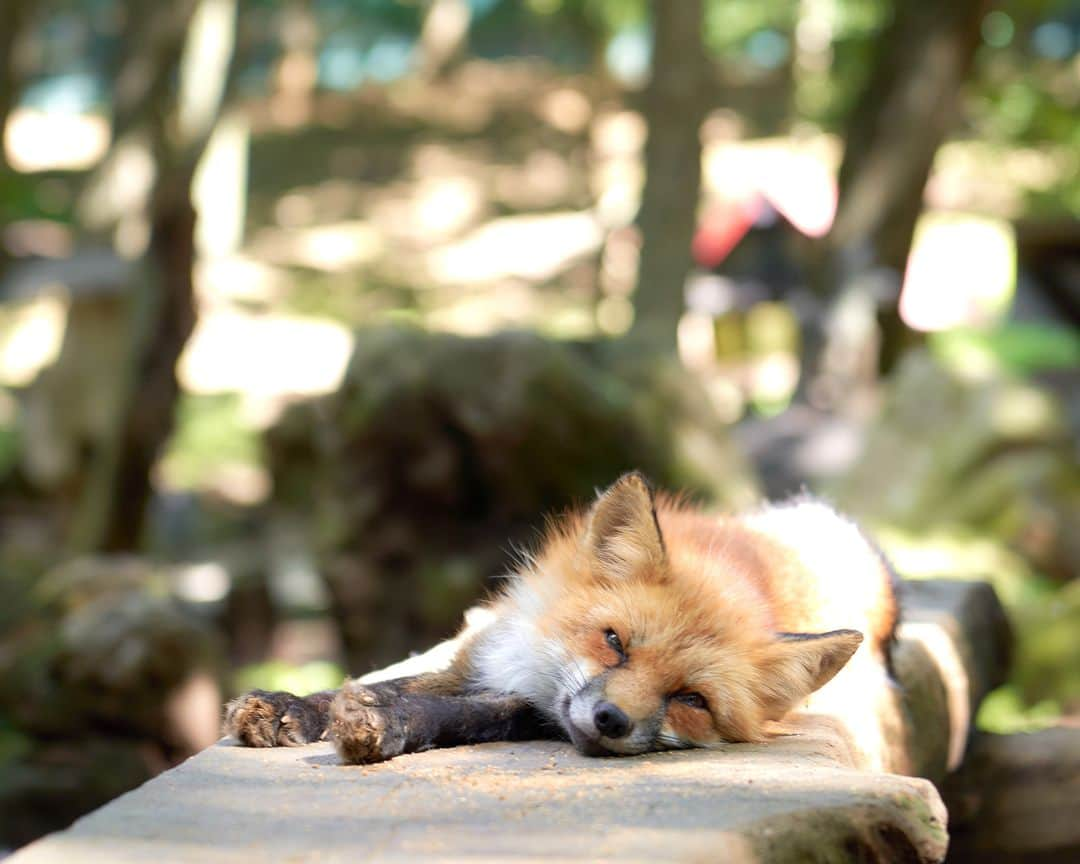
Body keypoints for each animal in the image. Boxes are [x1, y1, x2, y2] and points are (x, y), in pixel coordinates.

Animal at [223, 473, 898, 764]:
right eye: (614, 642)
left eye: (692, 700)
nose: (612, 720)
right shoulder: (489, 653)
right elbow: (395, 680)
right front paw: (289, 708)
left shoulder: (528, 705)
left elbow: (467, 713)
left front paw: (383, 723)